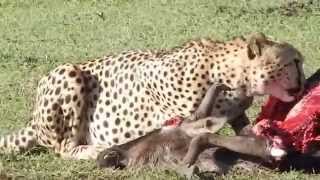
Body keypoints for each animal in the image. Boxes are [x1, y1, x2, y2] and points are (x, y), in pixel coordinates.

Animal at [0, 31, 304, 160]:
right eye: (294, 61)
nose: (303, 81)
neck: (237, 77)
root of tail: (33, 123)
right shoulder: (148, 74)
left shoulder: (237, 112)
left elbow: (246, 129)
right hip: (68, 72)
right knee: (63, 148)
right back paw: (94, 149)